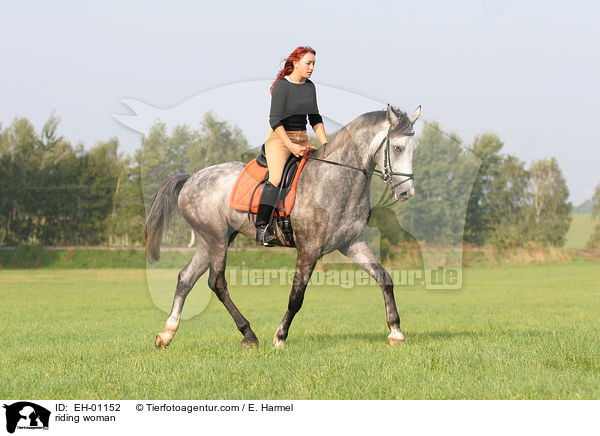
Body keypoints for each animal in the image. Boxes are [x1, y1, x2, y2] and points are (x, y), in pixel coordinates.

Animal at [145, 104, 420, 350]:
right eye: (397, 148)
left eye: (412, 150)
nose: (407, 192)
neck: (335, 181)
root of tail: (191, 178)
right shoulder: (309, 249)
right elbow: (296, 297)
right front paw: (279, 337)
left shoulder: (353, 244)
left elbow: (385, 279)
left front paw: (396, 332)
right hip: (217, 240)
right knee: (217, 283)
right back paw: (248, 334)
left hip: (209, 240)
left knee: (186, 278)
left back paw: (167, 334)